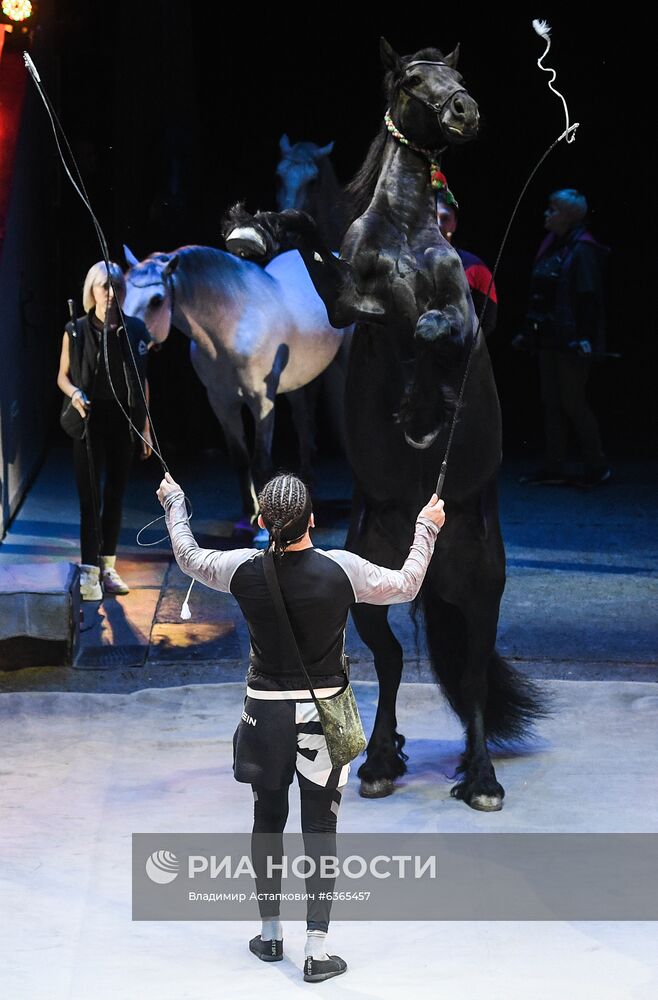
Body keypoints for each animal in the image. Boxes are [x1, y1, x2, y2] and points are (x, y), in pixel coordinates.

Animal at [226, 37, 544, 812]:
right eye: (411, 78)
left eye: (459, 74)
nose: (465, 111)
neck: (403, 234)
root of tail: (423, 574)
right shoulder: (346, 301)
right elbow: (320, 253)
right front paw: (256, 229)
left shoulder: (458, 321)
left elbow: (437, 327)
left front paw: (423, 396)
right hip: (368, 596)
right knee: (394, 663)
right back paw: (378, 759)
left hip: (481, 592)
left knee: (470, 675)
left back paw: (479, 776)